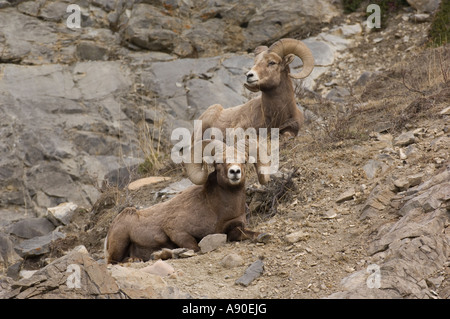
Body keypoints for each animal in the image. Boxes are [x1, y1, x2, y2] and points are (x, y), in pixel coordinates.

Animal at [105, 141, 268, 264]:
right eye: (218, 162)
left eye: (244, 161)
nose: (235, 172)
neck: (217, 211)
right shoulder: (176, 230)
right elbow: (194, 248)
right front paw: (160, 254)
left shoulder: (234, 228)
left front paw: (263, 236)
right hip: (120, 241)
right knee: (113, 261)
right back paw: (135, 259)